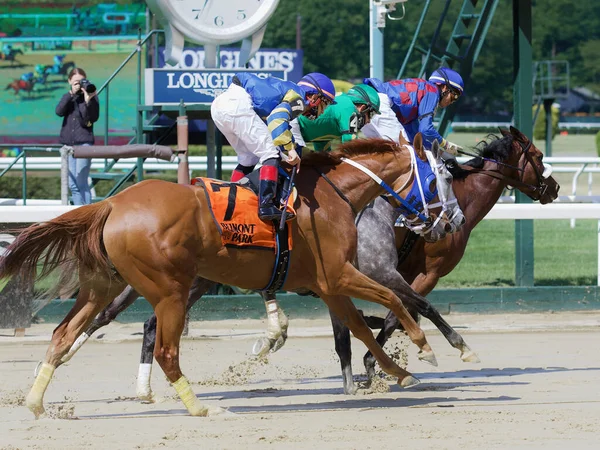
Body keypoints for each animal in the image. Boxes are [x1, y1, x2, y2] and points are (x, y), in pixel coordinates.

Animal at [1, 135, 446, 416]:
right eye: (436, 179)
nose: (443, 223)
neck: (334, 194)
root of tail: (112, 204)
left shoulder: (329, 284)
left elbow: (362, 328)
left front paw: (400, 374)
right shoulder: (338, 275)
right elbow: (393, 300)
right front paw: (425, 347)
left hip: (102, 285)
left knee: (65, 332)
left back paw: (37, 401)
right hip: (169, 290)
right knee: (164, 350)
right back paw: (200, 407)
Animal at [332, 125, 556, 390]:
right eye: (539, 156)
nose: (554, 188)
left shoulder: (401, 274)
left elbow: (397, 313)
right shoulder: (427, 274)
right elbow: (400, 313)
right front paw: (373, 362)